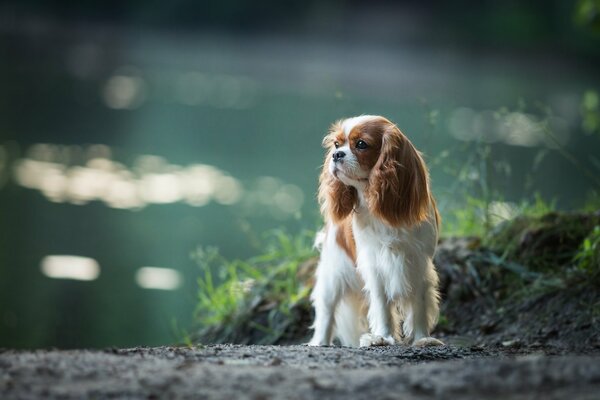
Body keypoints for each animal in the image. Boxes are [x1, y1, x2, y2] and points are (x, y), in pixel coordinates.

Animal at [310, 115, 440, 346]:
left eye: (361, 144)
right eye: (337, 144)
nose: (336, 154)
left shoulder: (418, 262)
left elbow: (419, 304)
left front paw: (422, 338)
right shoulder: (375, 264)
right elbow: (381, 304)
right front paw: (382, 337)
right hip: (333, 271)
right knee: (326, 310)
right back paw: (320, 343)